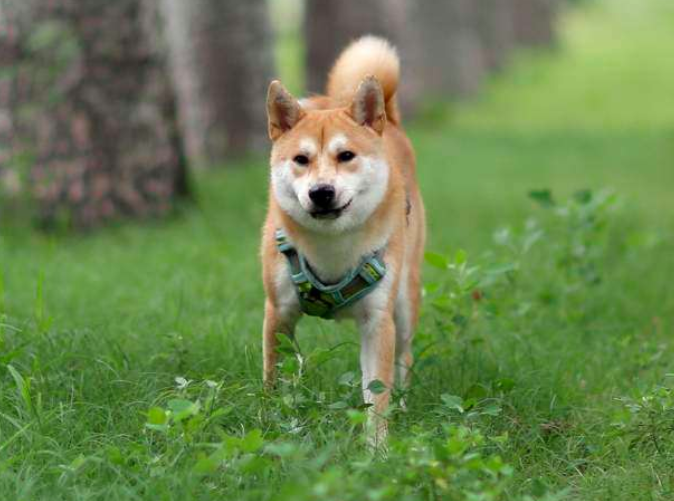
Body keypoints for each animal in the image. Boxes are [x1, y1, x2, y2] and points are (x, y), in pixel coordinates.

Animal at [260, 36, 422, 446]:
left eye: (345, 155)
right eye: (301, 159)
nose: (321, 192)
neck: (331, 249)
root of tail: (389, 122)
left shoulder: (378, 321)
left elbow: (376, 393)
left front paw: (377, 448)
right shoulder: (278, 312)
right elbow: (273, 377)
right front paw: (271, 423)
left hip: (405, 303)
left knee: (405, 359)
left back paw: (404, 406)